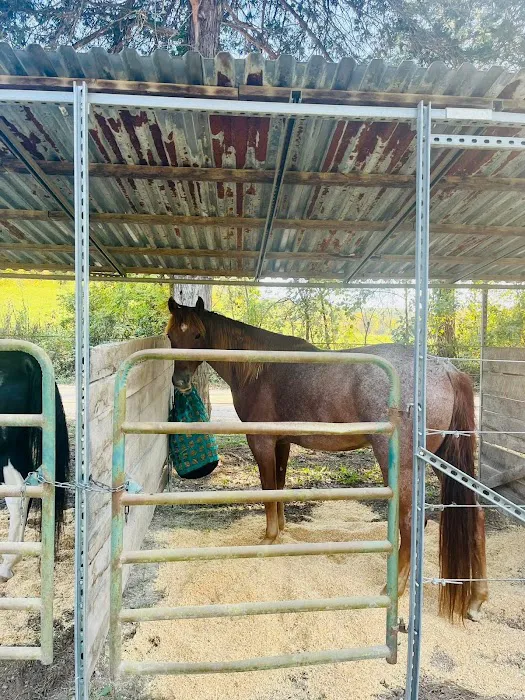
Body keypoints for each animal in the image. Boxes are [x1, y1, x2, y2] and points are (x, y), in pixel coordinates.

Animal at [166, 297, 488, 623]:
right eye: (170, 336)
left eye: (197, 335)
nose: (179, 382)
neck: (261, 367)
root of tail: (446, 369)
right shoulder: (282, 443)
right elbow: (279, 488)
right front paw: (281, 532)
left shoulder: (262, 442)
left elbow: (268, 491)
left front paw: (269, 539)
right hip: (442, 461)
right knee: (474, 515)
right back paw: (477, 598)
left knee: (411, 521)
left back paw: (393, 588)